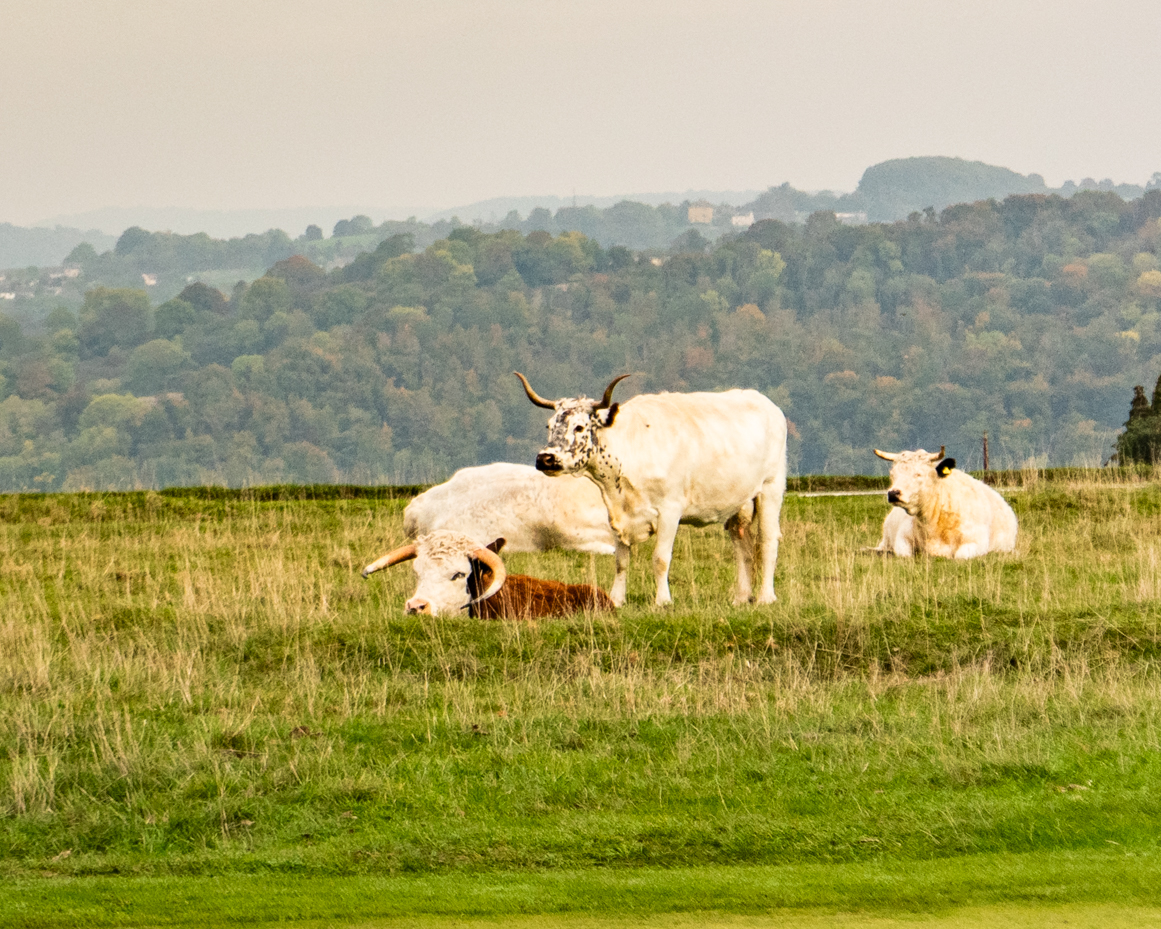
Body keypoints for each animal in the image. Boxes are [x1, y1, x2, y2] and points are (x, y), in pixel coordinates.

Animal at [515, 371, 788, 607]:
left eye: (580, 427)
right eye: (550, 426)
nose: (546, 458)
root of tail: (764, 402)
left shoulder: (670, 510)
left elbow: (660, 558)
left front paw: (663, 601)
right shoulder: (615, 514)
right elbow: (621, 561)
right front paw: (617, 600)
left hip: (771, 488)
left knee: (767, 541)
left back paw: (766, 597)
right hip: (739, 504)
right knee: (743, 548)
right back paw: (741, 598)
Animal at [871, 447, 1018, 558]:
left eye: (919, 474)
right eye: (892, 474)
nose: (893, 493)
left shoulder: (977, 542)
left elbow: (960, 556)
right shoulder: (902, 537)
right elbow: (904, 554)